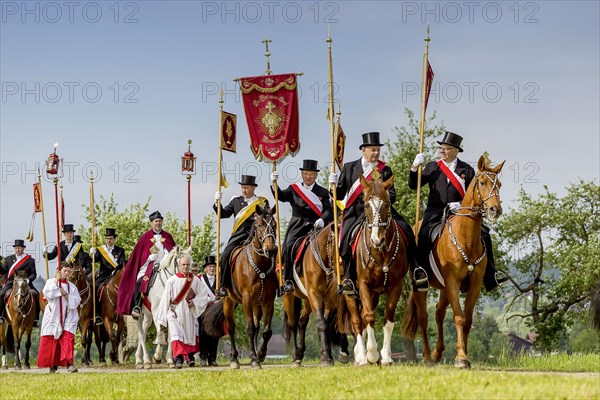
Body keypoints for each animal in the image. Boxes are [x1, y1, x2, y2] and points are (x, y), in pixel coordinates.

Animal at [282, 223, 350, 368]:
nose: (345, 277)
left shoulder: (330, 298)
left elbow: (327, 322)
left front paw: (332, 353)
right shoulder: (315, 294)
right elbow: (322, 322)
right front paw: (325, 357)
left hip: (308, 300)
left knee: (302, 321)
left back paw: (301, 352)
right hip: (289, 296)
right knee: (292, 323)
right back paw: (295, 357)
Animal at [336, 175, 410, 366]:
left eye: (387, 204)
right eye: (366, 205)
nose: (377, 239)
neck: (380, 251)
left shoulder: (395, 286)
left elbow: (388, 320)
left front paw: (385, 356)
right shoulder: (363, 284)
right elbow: (368, 317)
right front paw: (370, 354)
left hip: (375, 293)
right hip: (351, 292)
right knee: (357, 319)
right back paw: (362, 356)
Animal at [404, 155, 506, 368]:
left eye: (499, 184)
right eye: (482, 182)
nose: (495, 210)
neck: (466, 238)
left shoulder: (474, 285)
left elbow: (467, 320)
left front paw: (464, 353)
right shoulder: (452, 282)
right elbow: (459, 318)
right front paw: (460, 358)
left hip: (443, 289)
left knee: (439, 313)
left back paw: (437, 352)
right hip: (421, 287)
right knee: (424, 317)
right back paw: (427, 357)